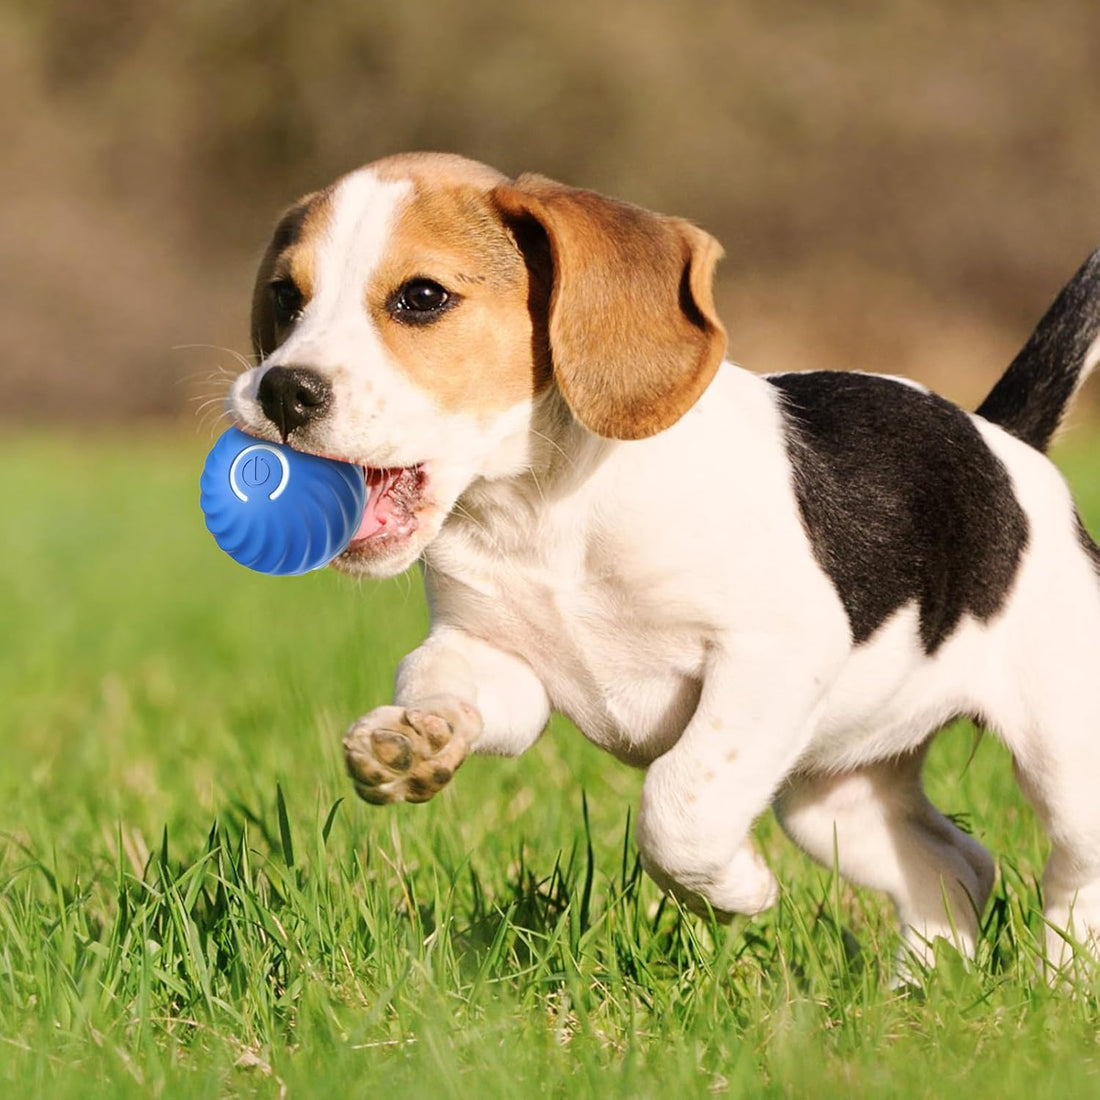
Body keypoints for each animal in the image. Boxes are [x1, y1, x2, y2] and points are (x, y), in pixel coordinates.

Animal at [227, 150, 1100, 968]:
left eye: (422, 298)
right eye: (285, 298)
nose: (281, 392)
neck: (543, 511)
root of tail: (1005, 442)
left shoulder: (772, 656)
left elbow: (679, 805)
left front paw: (737, 892)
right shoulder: (496, 661)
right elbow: (441, 682)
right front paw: (414, 741)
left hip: (1065, 758)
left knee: (1070, 873)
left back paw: (1059, 984)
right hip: (835, 794)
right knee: (956, 866)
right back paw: (921, 992)